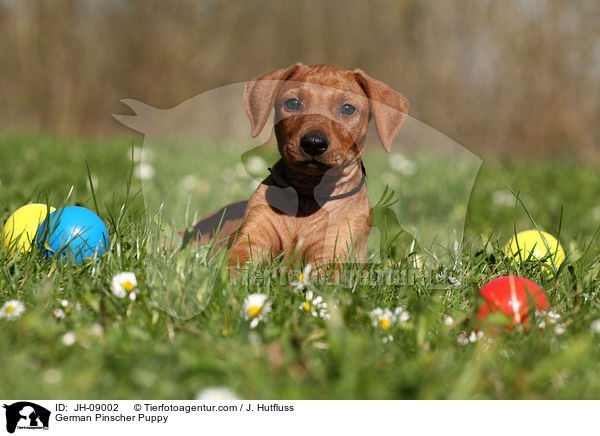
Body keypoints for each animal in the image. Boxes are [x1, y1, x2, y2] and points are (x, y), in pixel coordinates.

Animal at [223, 61, 410, 266]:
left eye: (348, 108)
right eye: (292, 103)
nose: (313, 143)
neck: (308, 197)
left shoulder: (331, 253)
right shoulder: (250, 240)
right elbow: (233, 264)